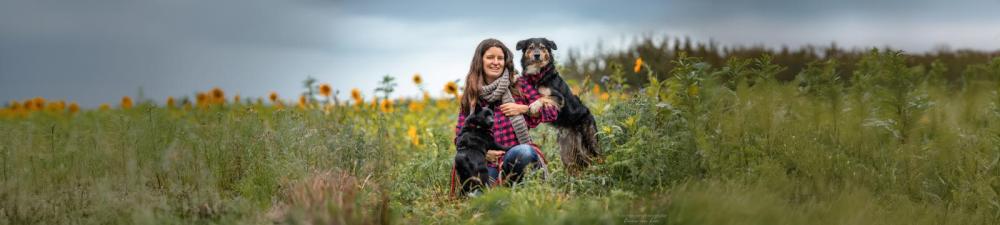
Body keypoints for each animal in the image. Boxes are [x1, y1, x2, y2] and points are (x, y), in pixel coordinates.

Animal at [520, 37, 596, 173]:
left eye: (542, 47)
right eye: (531, 47)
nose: (537, 55)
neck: (537, 76)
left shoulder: (559, 98)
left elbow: (543, 97)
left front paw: (534, 106)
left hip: (590, 142)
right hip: (567, 152)